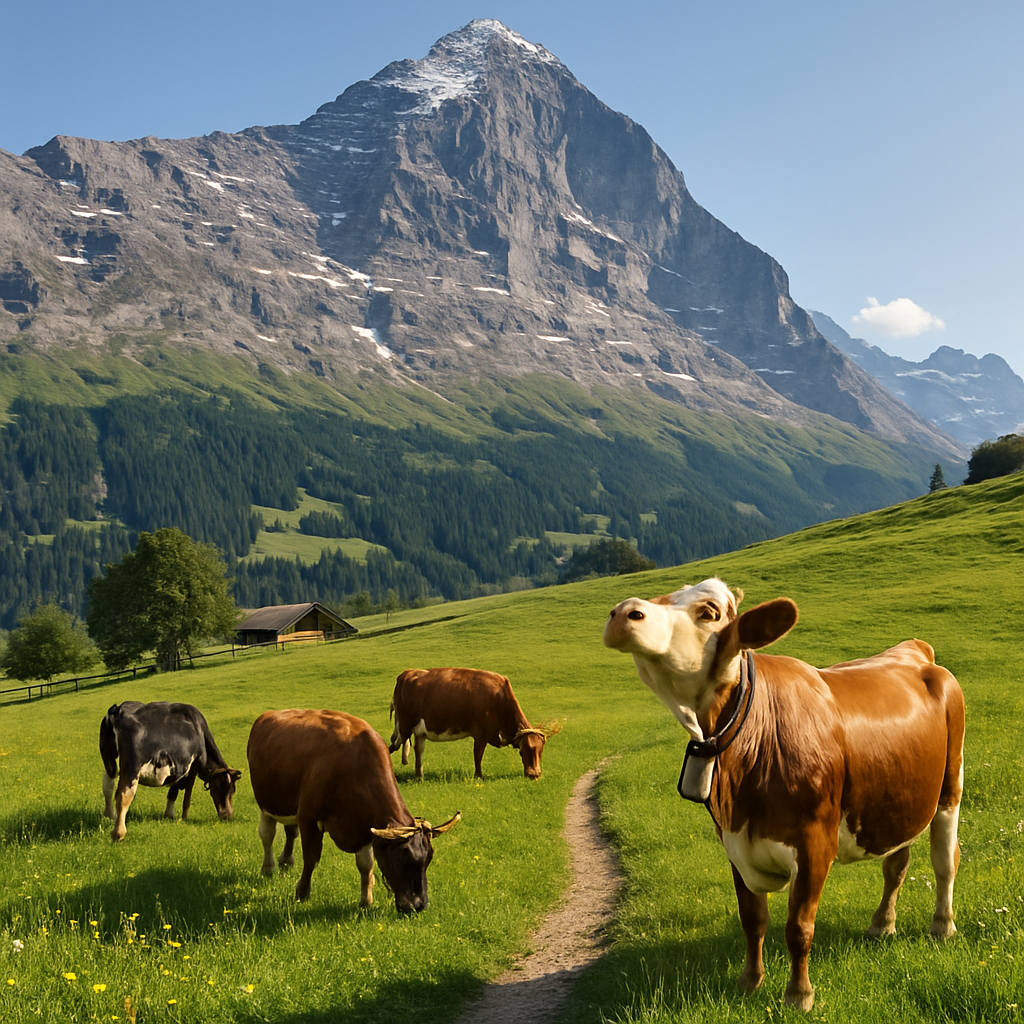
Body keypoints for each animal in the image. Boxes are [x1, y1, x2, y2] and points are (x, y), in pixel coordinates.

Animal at [100, 701, 242, 843]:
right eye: (226, 788)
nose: (228, 816)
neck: (200, 731)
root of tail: (118, 709)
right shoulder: (193, 766)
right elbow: (185, 796)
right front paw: (183, 818)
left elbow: (173, 792)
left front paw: (169, 815)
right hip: (132, 767)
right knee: (123, 796)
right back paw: (118, 833)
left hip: (109, 759)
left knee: (108, 785)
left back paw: (110, 815)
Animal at [246, 709, 460, 912]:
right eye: (402, 859)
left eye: (428, 859)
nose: (418, 905)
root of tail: (267, 715)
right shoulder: (309, 818)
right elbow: (311, 858)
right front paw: (302, 892)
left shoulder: (365, 826)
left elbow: (366, 865)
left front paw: (366, 900)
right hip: (266, 803)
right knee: (267, 835)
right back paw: (268, 867)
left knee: (290, 831)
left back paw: (286, 860)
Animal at [388, 667, 561, 780]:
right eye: (523, 751)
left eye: (541, 751)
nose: (534, 775)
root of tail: (407, 673)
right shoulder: (480, 733)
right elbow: (477, 756)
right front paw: (479, 776)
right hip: (405, 726)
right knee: (395, 745)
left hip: (419, 731)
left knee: (418, 751)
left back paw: (419, 777)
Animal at [602, 577, 964, 1012]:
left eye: (709, 612)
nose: (622, 612)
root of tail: (912, 649)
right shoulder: (734, 843)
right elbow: (752, 918)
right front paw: (750, 980)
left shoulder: (815, 845)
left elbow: (798, 926)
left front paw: (799, 994)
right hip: (899, 797)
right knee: (896, 862)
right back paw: (882, 924)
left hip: (950, 787)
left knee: (945, 860)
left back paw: (942, 925)